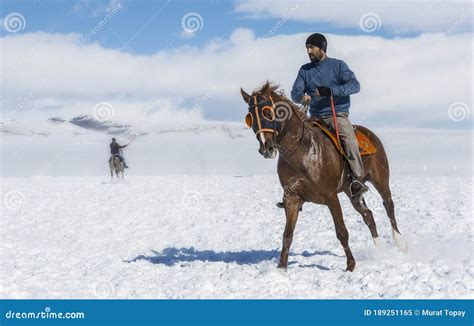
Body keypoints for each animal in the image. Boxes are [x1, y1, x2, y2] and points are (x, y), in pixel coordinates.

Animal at [241, 82, 408, 272]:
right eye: (250, 118)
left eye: (268, 112)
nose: (266, 148)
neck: (300, 151)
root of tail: (370, 134)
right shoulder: (292, 198)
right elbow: (287, 234)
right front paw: (281, 268)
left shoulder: (331, 196)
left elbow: (342, 232)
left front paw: (350, 265)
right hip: (352, 192)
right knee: (368, 215)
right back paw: (379, 250)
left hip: (381, 180)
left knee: (388, 205)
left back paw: (400, 243)